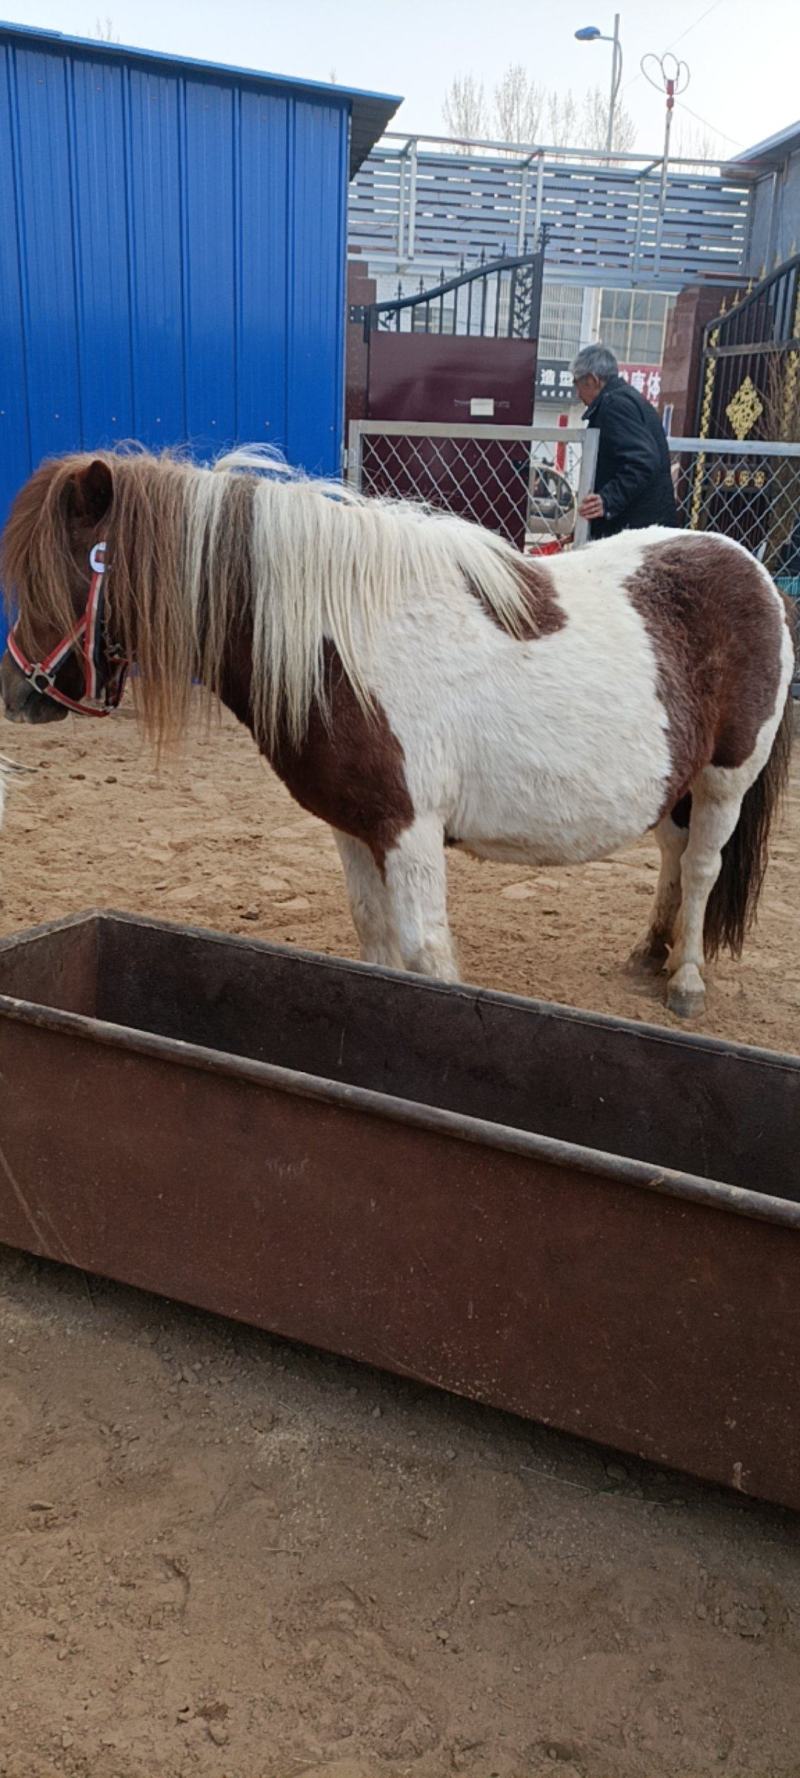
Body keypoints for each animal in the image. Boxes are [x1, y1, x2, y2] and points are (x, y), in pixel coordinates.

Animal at [0, 444, 794, 1019]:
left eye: (53, 575)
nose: (19, 693)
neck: (339, 647)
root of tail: (750, 568)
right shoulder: (355, 829)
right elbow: (375, 939)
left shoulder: (410, 832)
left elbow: (424, 952)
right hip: (674, 782)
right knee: (672, 853)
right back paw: (650, 951)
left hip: (725, 778)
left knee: (701, 868)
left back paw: (685, 978)